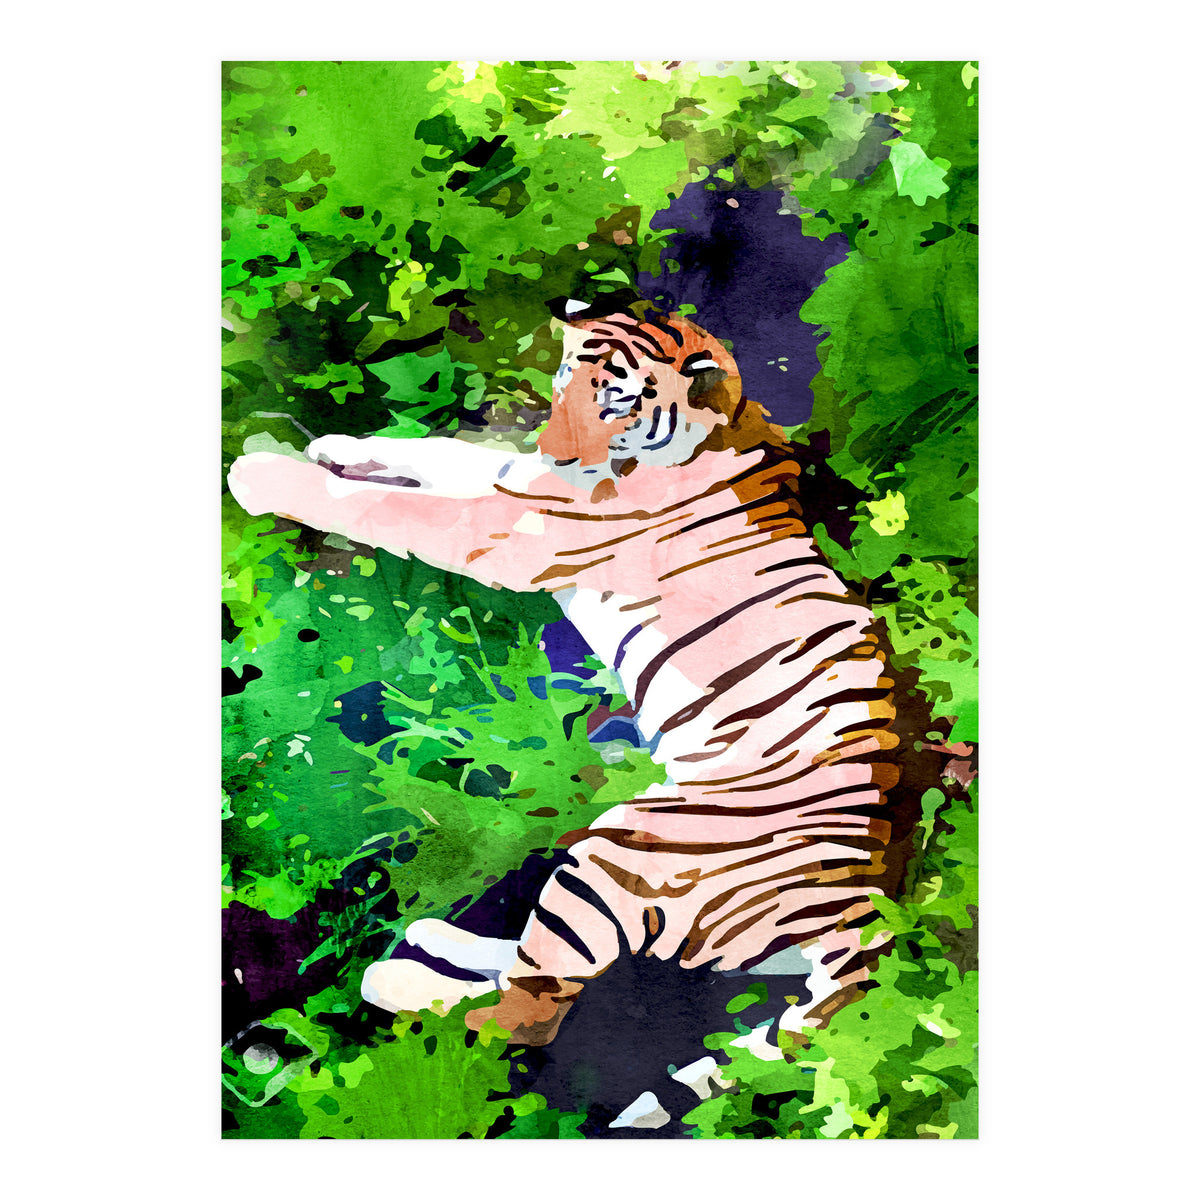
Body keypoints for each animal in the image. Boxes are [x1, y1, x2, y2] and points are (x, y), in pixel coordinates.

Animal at [228, 305, 934, 1051]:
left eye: (616, 402)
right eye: (566, 378)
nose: (557, 449)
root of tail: (859, 909)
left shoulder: (506, 527)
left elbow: (379, 506)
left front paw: (261, 472)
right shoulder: (517, 479)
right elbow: (442, 453)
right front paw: (337, 445)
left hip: (620, 852)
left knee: (525, 1012)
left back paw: (394, 980)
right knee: (533, 966)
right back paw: (434, 936)